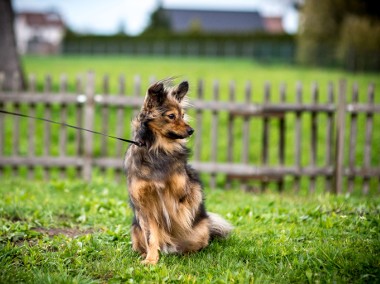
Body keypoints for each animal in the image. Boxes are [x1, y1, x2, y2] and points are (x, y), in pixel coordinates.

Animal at [123, 79, 233, 264]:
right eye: (171, 116)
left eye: (182, 115)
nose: (191, 130)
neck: (158, 149)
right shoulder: (145, 205)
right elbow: (151, 236)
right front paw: (151, 260)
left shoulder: (183, 190)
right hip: (135, 231)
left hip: (201, 231)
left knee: (197, 245)